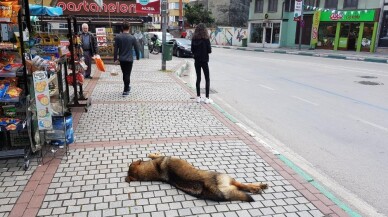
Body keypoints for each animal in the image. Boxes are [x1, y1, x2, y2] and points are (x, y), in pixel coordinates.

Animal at [126, 153, 268, 202]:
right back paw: (259, 187)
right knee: (243, 185)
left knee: (243, 187)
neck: (156, 169)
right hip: (227, 177)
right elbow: (155, 155)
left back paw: (259, 188)